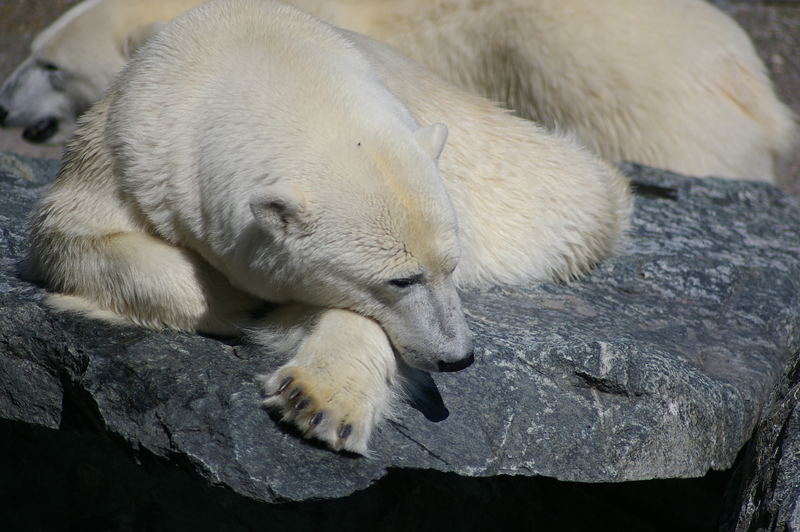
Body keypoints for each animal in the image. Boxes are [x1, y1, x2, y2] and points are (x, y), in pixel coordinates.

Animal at [26, 0, 632, 454]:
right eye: (400, 280)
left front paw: (316, 400)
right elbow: (72, 236)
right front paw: (231, 300)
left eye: (451, 268)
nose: (458, 357)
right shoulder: (127, 144)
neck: (257, 52)